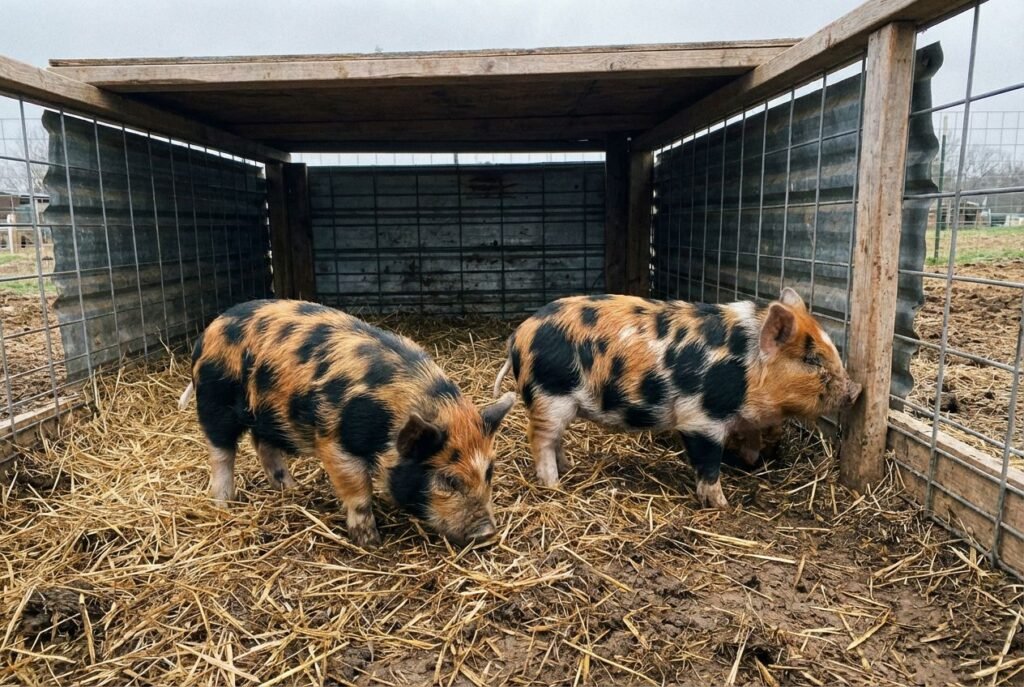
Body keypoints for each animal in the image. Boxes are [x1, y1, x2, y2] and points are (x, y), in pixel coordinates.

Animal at [179, 299, 516, 547]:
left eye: (489, 471)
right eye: (448, 480)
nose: (487, 533)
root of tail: (208, 331)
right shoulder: (335, 440)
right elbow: (358, 491)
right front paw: (371, 542)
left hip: (268, 412)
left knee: (263, 445)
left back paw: (291, 489)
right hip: (214, 399)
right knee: (221, 451)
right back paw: (224, 503)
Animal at [492, 289, 861, 508]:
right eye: (811, 360)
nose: (856, 390)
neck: (745, 370)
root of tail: (518, 336)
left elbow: (751, 443)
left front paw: (750, 463)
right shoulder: (701, 417)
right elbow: (708, 463)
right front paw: (722, 505)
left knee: (556, 440)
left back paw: (569, 469)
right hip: (549, 397)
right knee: (539, 438)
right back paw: (554, 486)